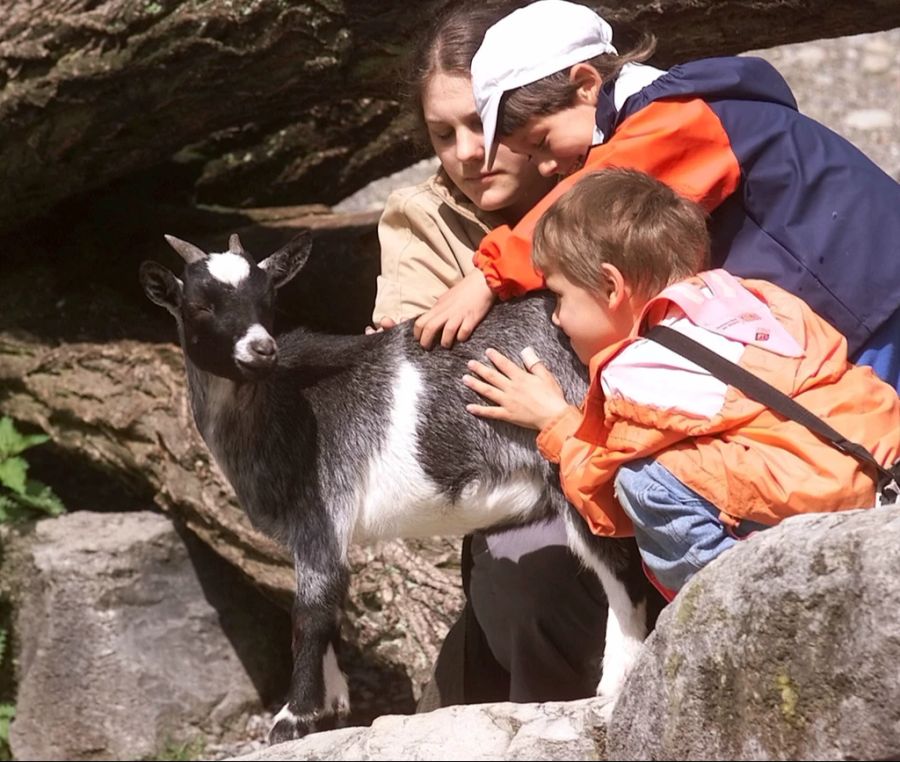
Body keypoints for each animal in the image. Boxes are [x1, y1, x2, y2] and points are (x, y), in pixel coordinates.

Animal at [141, 232, 656, 744]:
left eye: (268, 300)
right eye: (199, 306)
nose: (262, 349)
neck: (285, 405)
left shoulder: (321, 511)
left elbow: (310, 613)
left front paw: (292, 719)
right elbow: (332, 609)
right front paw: (332, 708)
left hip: (573, 466)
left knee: (620, 565)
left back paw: (615, 681)